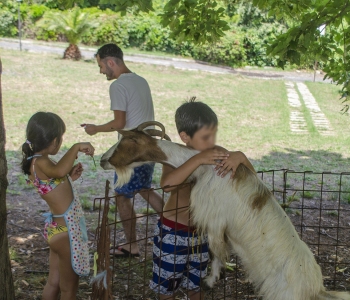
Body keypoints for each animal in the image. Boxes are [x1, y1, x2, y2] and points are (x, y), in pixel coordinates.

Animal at [100, 122, 350, 300]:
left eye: (126, 141)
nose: (102, 159)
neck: (205, 167)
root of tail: (315, 289)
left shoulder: (214, 217)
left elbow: (216, 251)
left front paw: (210, 280)